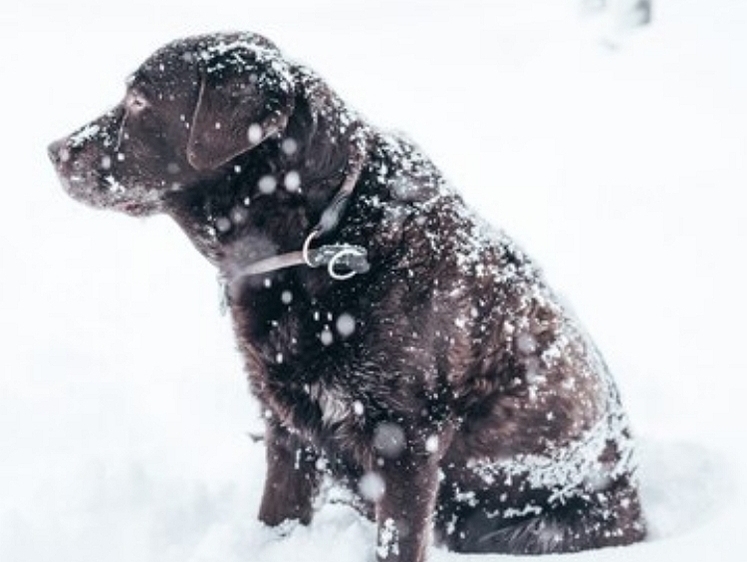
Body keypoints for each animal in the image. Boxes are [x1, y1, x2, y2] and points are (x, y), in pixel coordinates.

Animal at [48, 31, 644, 560]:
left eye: (138, 102)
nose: (54, 150)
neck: (321, 237)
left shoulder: (405, 442)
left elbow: (397, 541)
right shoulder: (286, 424)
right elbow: (277, 515)